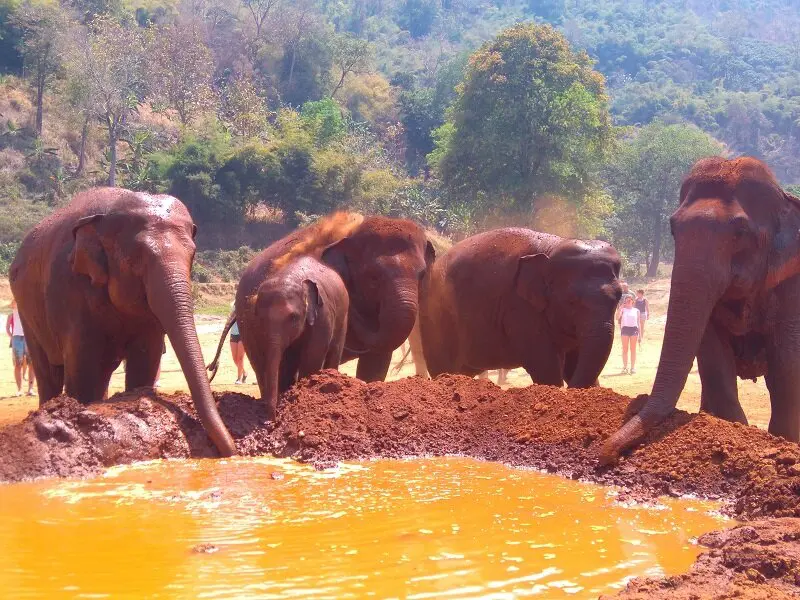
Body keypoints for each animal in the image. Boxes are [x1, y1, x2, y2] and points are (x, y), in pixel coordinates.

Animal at [9, 188, 236, 454]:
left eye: (192, 256)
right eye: (136, 258)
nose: (229, 452)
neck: (110, 211)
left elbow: (145, 359)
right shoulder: (69, 289)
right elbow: (82, 365)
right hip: (26, 311)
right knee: (49, 372)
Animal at [206, 255, 346, 420]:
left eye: (294, 317)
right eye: (260, 318)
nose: (272, 419)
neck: (290, 275)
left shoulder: (322, 315)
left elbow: (312, 355)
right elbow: (280, 360)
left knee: (335, 349)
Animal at [418, 227, 624, 386]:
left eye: (619, 297)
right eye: (571, 300)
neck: (553, 247)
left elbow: (575, 361)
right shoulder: (520, 308)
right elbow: (545, 365)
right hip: (435, 319)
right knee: (444, 367)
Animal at [604, 156, 800, 464]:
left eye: (740, 232)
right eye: (673, 228)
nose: (607, 456)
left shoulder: (792, 285)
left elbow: (787, 364)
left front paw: (784, 443)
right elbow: (714, 358)